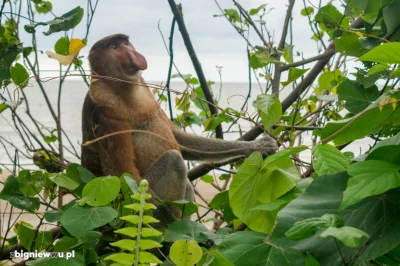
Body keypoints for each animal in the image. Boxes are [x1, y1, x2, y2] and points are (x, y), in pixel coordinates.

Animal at [79, 33, 276, 227]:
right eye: (114, 47)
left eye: (125, 43)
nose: (133, 55)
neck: (123, 90)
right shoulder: (105, 110)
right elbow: (123, 175)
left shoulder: (144, 88)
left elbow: (178, 138)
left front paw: (258, 146)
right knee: (173, 160)